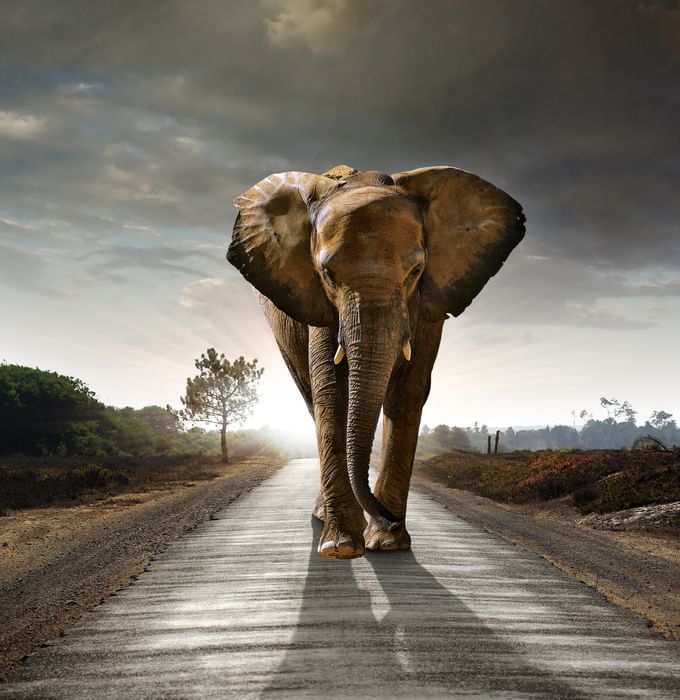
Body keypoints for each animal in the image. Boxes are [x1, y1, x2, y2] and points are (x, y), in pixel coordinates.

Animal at [227, 164, 524, 560]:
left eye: (415, 271)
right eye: (327, 274)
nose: (390, 519)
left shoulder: (428, 304)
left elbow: (408, 392)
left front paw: (388, 544)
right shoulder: (320, 304)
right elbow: (332, 392)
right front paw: (341, 547)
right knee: (311, 398)